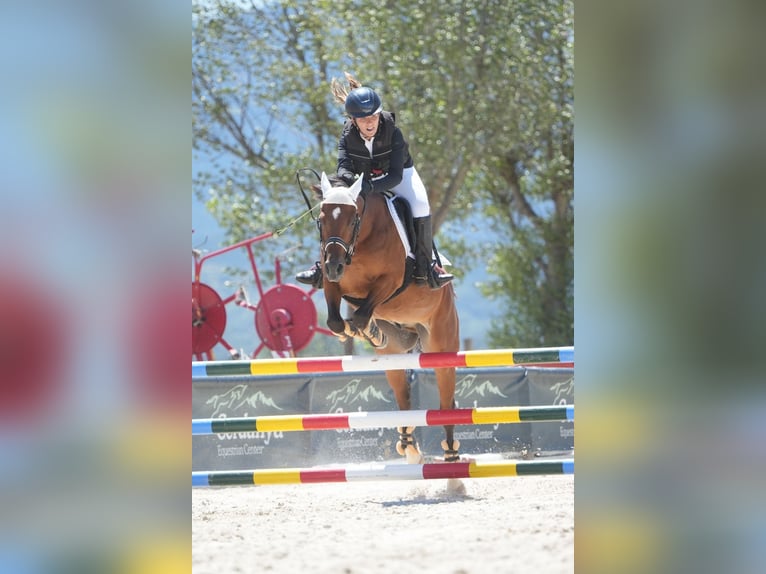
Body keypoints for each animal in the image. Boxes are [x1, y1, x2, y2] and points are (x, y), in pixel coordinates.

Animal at [313, 172, 461, 465]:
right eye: (321, 220)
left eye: (352, 219)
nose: (334, 266)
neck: (360, 243)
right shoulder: (332, 285)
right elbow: (336, 321)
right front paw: (362, 331)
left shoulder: (389, 282)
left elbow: (361, 315)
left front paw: (368, 330)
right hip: (393, 356)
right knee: (403, 396)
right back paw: (409, 446)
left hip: (441, 345)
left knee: (445, 395)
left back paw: (450, 451)